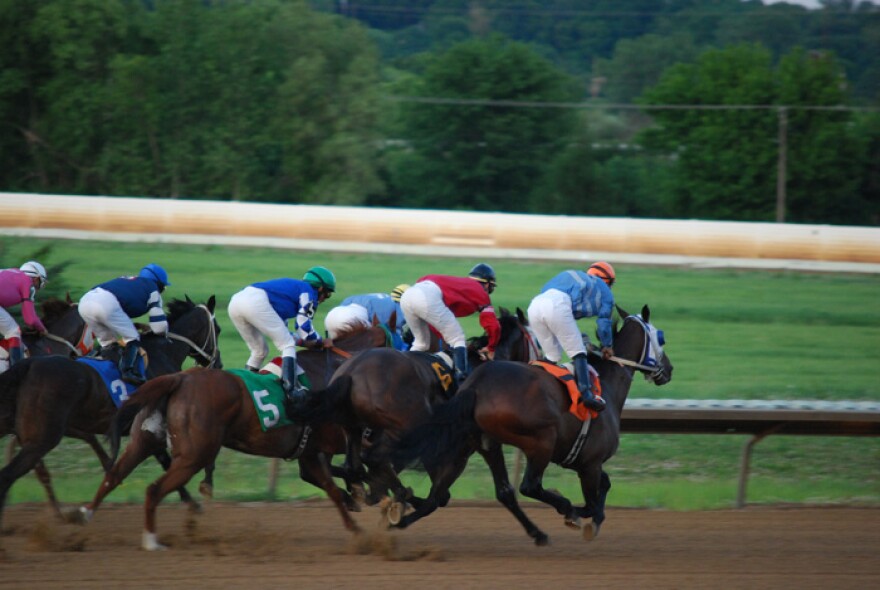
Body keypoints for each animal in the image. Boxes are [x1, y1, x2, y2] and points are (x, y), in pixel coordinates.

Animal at [0, 298, 220, 528]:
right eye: (218, 329)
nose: (219, 362)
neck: (163, 353)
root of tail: (28, 365)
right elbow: (176, 461)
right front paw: (198, 497)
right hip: (43, 436)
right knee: (10, 475)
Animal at [81, 322, 392, 552]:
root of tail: (179, 378)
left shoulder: (309, 451)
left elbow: (333, 488)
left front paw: (359, 523)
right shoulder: (330, 443)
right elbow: (357, 470)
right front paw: (379, 501)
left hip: (145, 441)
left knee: (114, 475)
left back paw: (82, 518)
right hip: (194, 454)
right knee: (153, 490)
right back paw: (151, 541)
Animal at [388, 308, 672, 548]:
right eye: (660, 338)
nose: (668, 369)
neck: (608, 383)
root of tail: (476, 384)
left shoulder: (584, 462)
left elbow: (605, 485)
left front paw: (592, 519)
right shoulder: (590, 463)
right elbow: (591, 501)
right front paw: (575, 513)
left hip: (477, 444)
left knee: (442, 496)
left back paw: (395, 525)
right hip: (541, 441)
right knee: (529, 486)